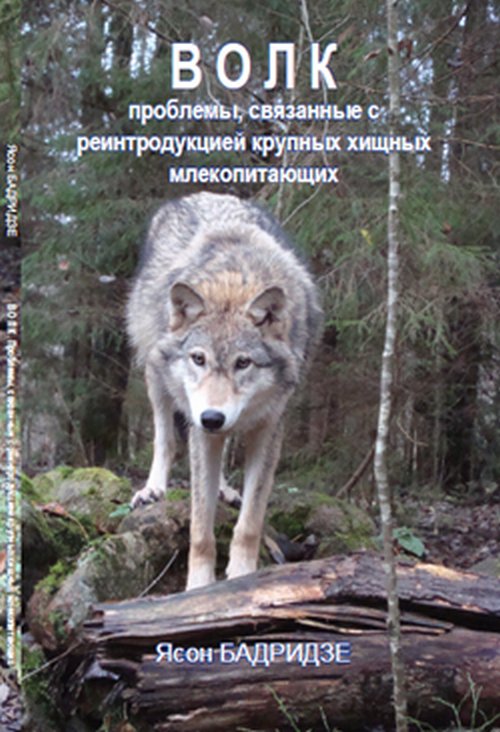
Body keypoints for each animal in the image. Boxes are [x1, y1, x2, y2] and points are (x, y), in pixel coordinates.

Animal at [127, 192, 323, 590]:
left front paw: (242, 577)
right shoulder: (199, 429)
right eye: (199, 359)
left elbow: (250, 522)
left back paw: (223, 487)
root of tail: (203, 194)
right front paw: (199, 587)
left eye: (243, 363)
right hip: (155, 371)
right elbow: (200, 529)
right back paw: (152, 489)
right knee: (165, 437)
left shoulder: (270, 428)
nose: (212, 417)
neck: (235, 280)